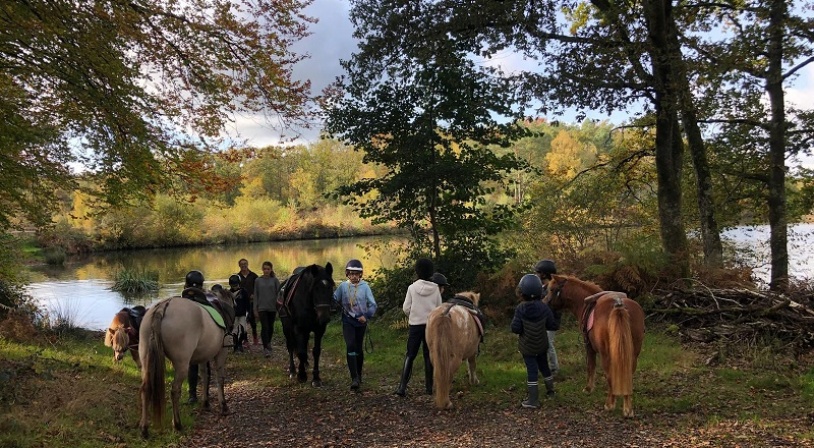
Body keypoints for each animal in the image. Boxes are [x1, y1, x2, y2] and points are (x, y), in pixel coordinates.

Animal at [544, 274, 648, 418]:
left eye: (552, 289)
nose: (544, 303)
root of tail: (619, 305)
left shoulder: (589, 347)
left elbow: (590, 367)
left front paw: (588, 388)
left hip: (606, 354)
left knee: (610, 376)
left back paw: (609, 405)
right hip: (632, 354)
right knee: (627, 376)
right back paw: (627, 409)